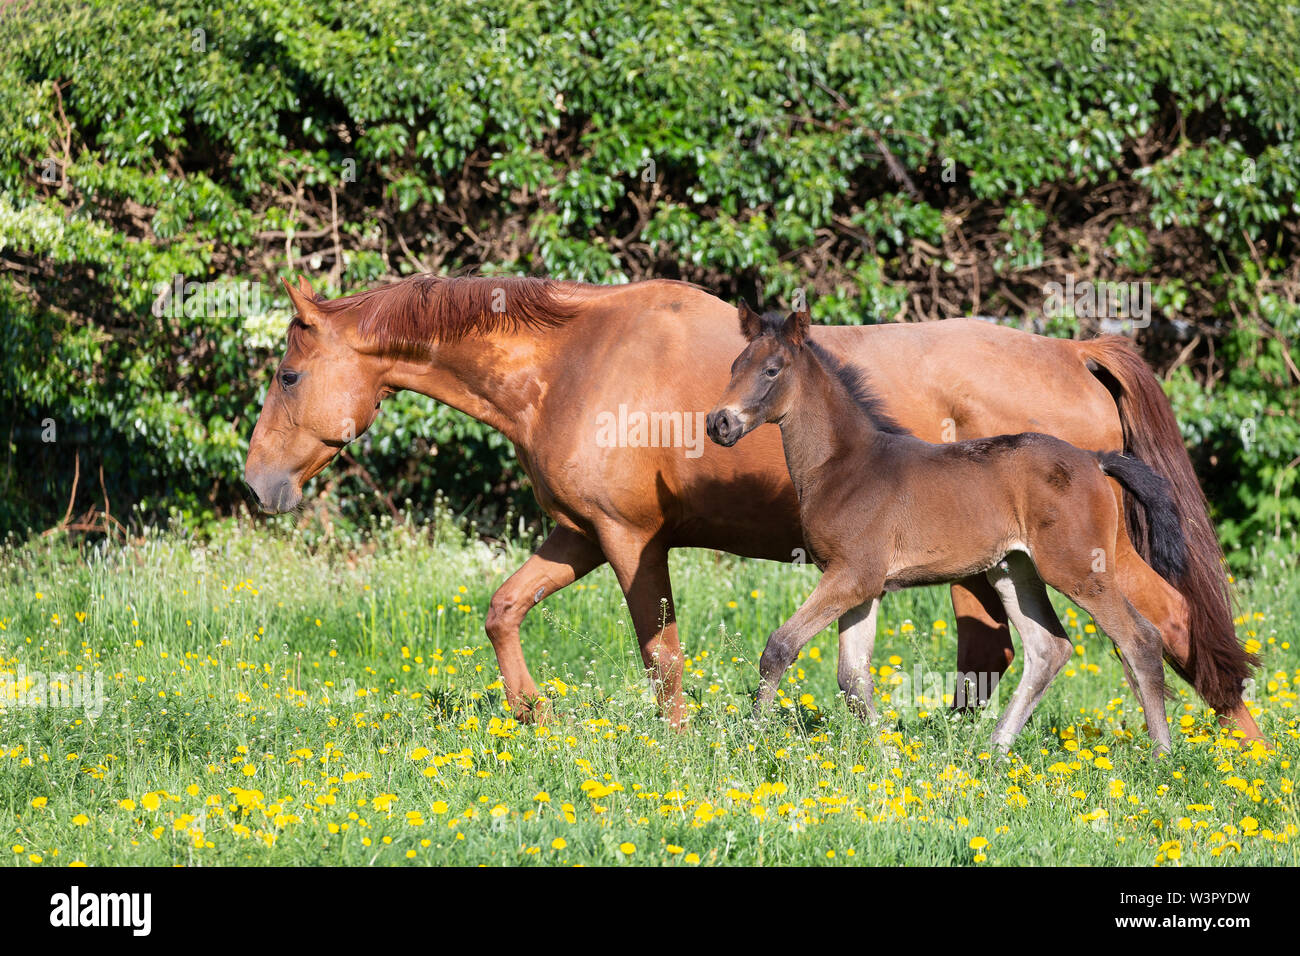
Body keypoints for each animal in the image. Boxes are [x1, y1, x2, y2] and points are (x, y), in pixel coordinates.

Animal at [712, 306, 1190, 754]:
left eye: (772, 369)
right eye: (734, 365)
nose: (719, 423)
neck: (843, 467)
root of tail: (1095, 460)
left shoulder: (853, 575)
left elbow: (780, 647)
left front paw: (752, 738)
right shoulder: (861, 584)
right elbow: (853, 678)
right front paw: (888, 754)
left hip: (1078, 569)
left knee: (1141, 640)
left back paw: (1161, 757)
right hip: (1012, 570)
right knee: (1048, 649)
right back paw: (995, 750)